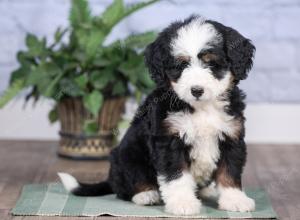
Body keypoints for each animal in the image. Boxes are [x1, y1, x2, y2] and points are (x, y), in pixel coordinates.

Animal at [58, 16, 255, 216]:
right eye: (181, 65)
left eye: (212, 64)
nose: (196, 90)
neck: (201, 108)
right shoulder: (169, 140)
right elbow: (177, 174)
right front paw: (183, 203)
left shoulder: (231, 135)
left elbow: (229, 171)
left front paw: (235, 200)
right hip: (128, 154)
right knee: (127, 185)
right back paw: (146, 194)